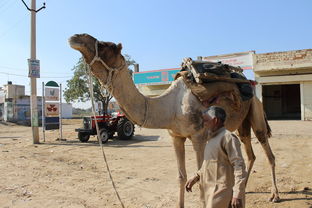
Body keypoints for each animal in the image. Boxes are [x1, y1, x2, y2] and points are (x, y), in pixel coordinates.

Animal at [69, 33, 280, 207]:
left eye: (106, 45)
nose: (75, 37)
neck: (171, 106)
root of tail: (250, 85)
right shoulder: (176, 137)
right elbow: (181, 176)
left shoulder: (199, 137)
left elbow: (201, 177)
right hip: (242, 124)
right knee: (249, 152)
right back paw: (243, 190)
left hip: (256, 111)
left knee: (267, 151)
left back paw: (274, 195)